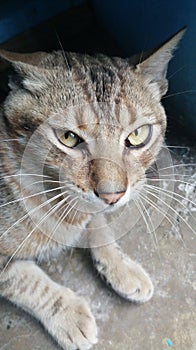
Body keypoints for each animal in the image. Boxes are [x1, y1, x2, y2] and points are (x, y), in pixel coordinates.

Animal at [0, 28, 186, 348]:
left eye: (137, 135)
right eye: (68, 138)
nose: (113, 195)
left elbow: (99, 227)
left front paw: (121, 266)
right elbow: (25, 280)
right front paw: (68, 314)